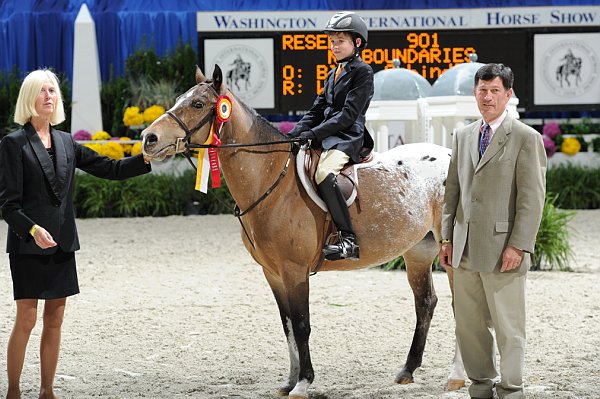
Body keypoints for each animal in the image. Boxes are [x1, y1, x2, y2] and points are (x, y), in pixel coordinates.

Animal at [141, 66, 464, 399]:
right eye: (180, 98)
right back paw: (407, 370)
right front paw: (289, 380)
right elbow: (287, 325)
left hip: (451, 254)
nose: (148, 138)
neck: (271, 180)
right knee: (425, 303)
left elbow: (301, 324)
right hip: (418, 252)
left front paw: (304, 382)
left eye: (198, 104)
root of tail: (450, 153)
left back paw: (456, 377)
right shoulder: (273, 272)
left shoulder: (294, 270)